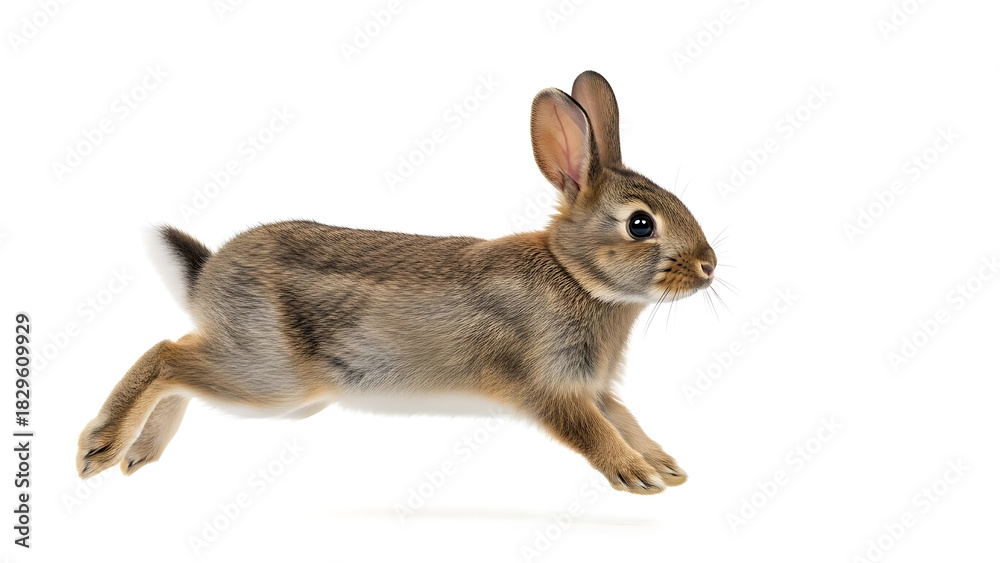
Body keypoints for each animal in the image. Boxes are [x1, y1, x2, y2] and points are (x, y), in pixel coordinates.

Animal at [76, 70, 717, 495]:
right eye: (641, 224)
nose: (710, 265)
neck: (576, 275)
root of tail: (210, 276)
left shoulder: (594, 386)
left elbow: (624, 418)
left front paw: (665, 465)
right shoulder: (550, 386)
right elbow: (593, 431)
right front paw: (636, 475)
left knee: (181, 358)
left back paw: (140, 455)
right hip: (273, 378)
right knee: (166, 355)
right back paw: (100, 447)